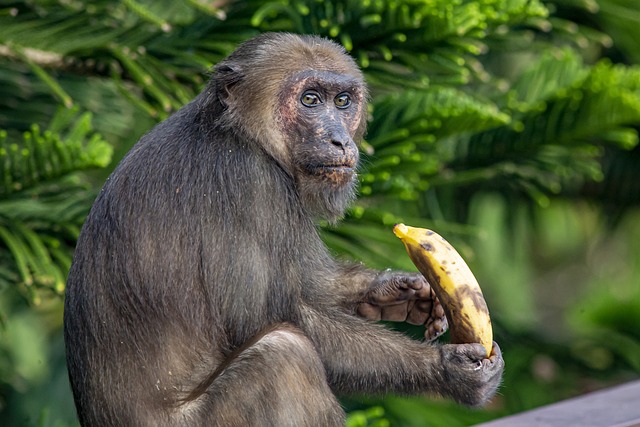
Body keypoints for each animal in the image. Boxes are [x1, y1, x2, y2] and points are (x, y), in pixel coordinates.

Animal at [65, 33, 504, 427]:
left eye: (342, 101)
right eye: (310, 99)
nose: (339, 138)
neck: (242, 135)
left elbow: (309, 283)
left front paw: (401, 291)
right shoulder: (249, 181)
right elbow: (269, 315)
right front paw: (448, 369)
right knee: (284, 357)